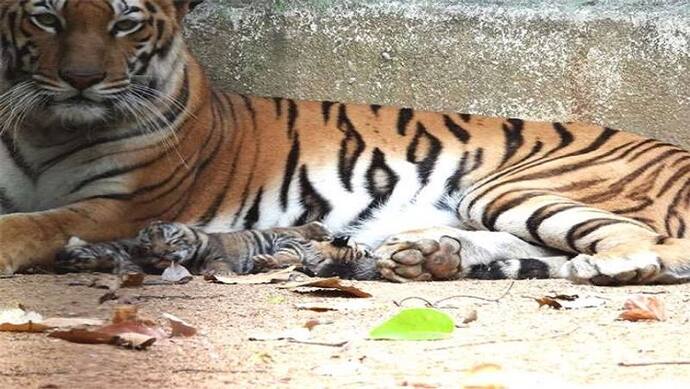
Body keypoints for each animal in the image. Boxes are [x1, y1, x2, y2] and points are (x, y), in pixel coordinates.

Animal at [1, 0, 688, 284]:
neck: (44, 126)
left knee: (644, 243)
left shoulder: (125, 203)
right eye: (45, 17)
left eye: (127, 23)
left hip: (511, 187)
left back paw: (608, 267)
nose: (81, 78)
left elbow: (34, 223)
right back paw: (426, 256)